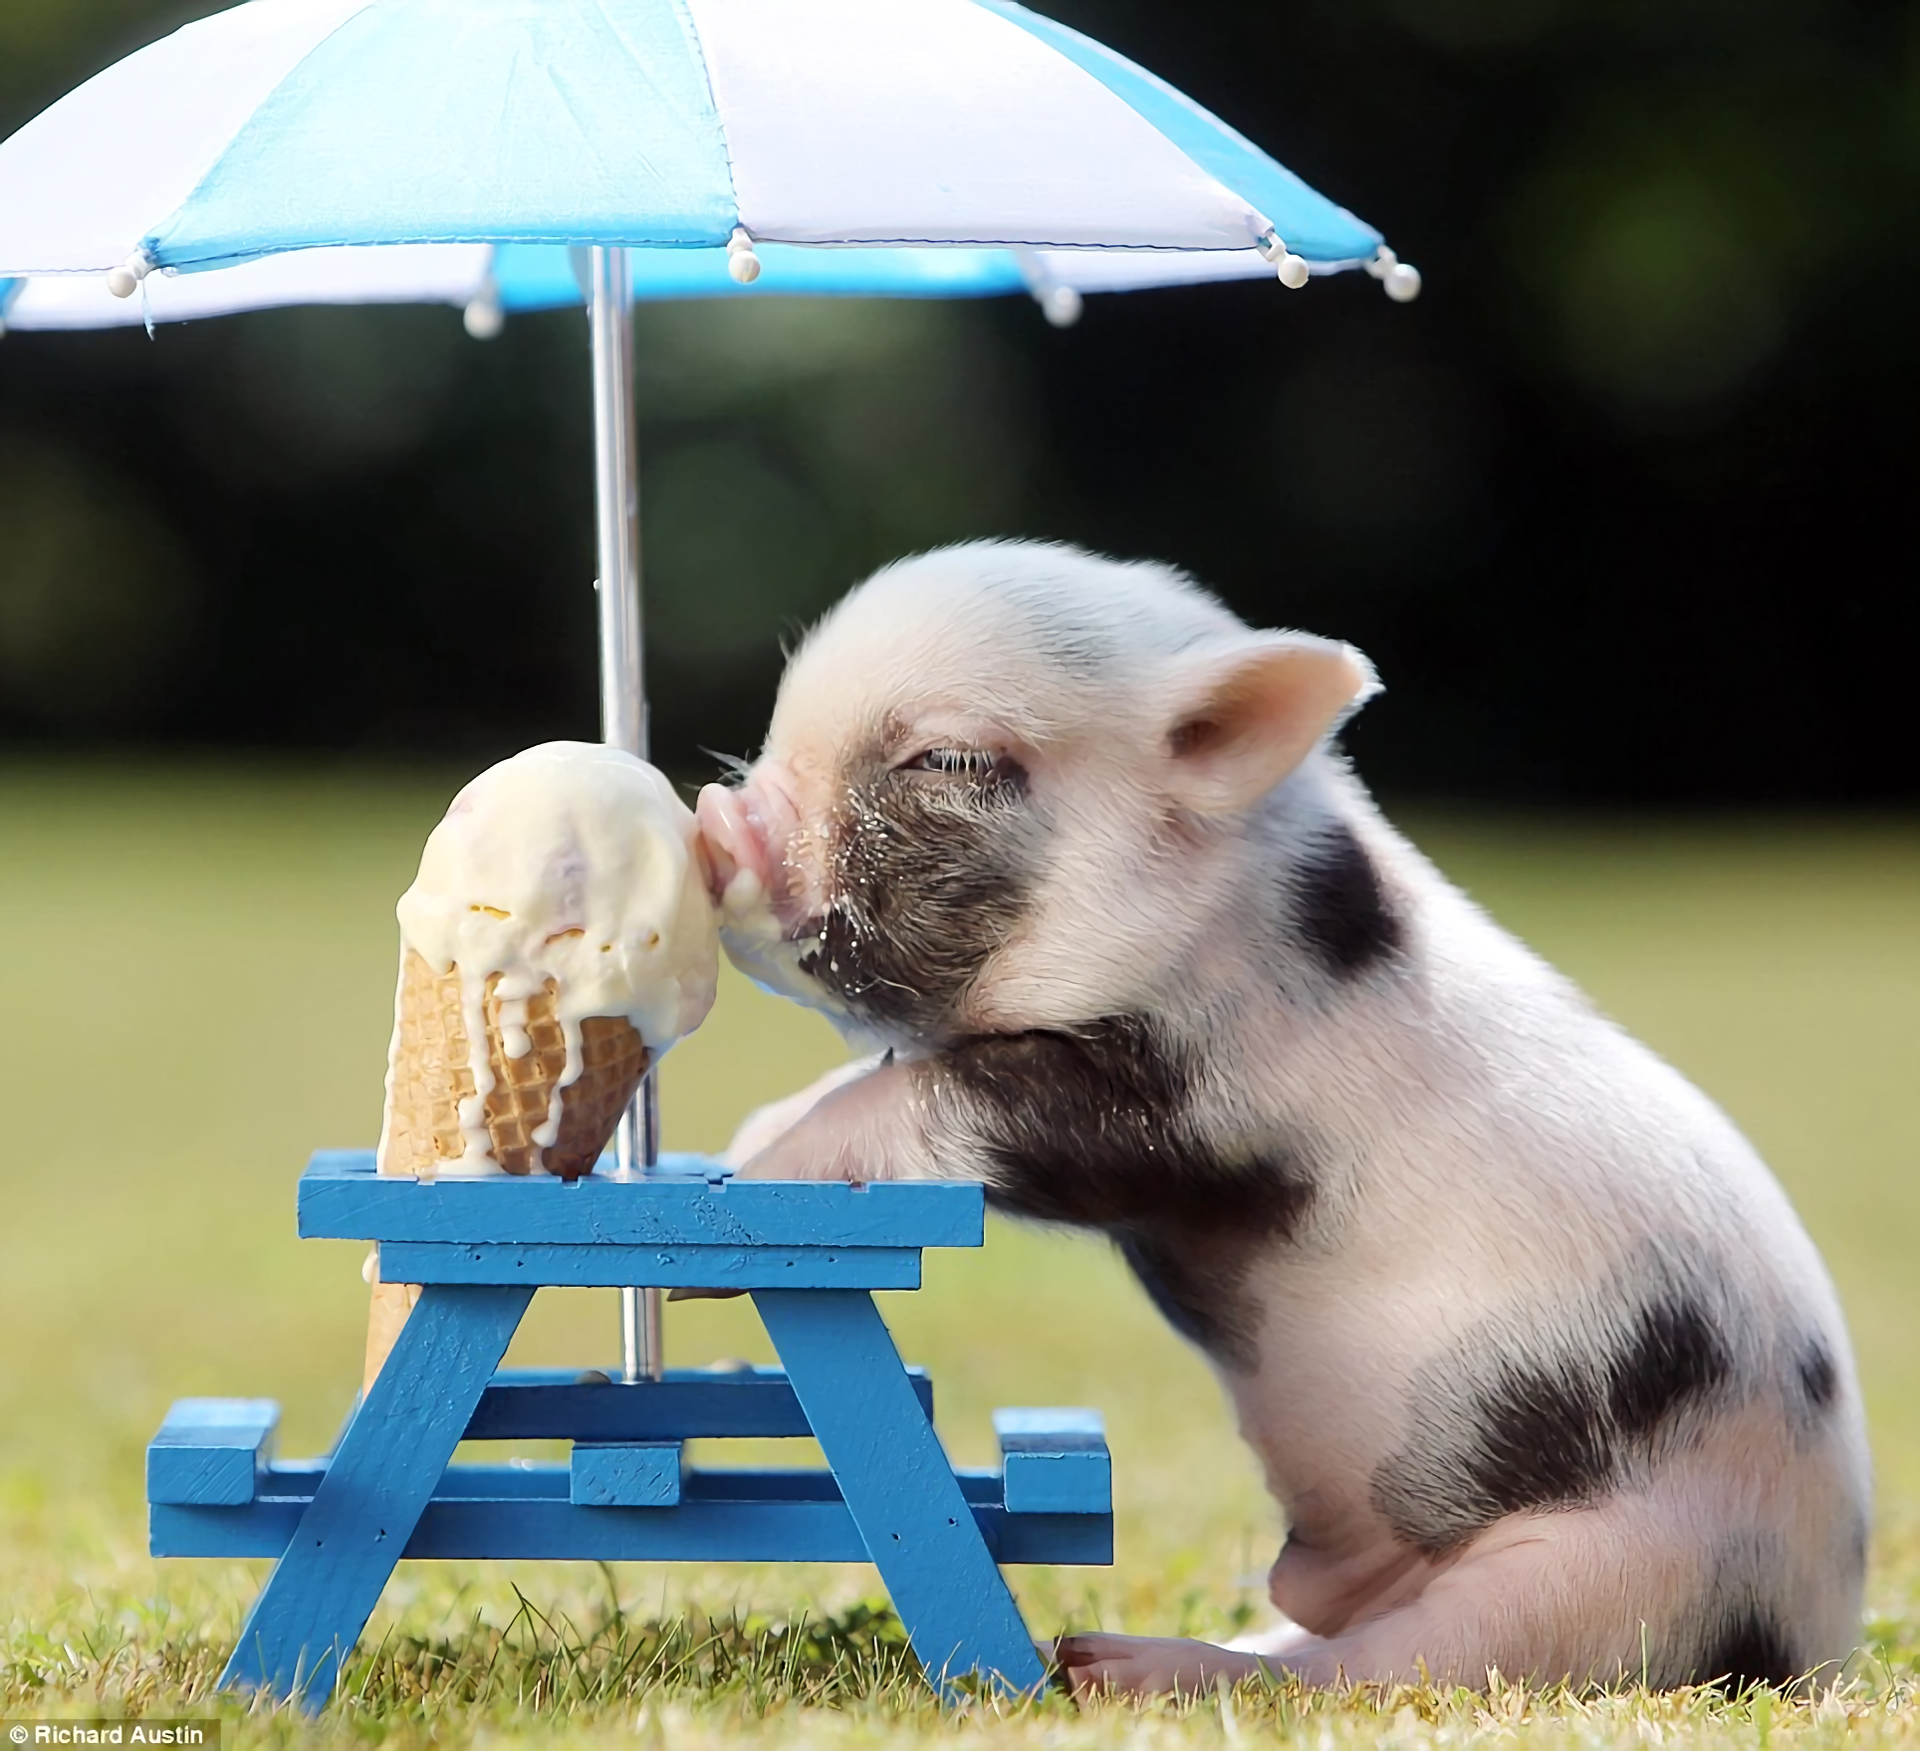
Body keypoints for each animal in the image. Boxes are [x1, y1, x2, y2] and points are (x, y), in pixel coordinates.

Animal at [693, 540, 1870, 1699]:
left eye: (945, 760)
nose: (717, 818)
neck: (1230, 913)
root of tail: (1819, 1634)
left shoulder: (1187, 1101)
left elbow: (943, 1094)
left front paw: (744, 1183)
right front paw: (747, 1137)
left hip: (1614, 1576)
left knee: (1381, 1669)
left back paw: (1111, 1665)